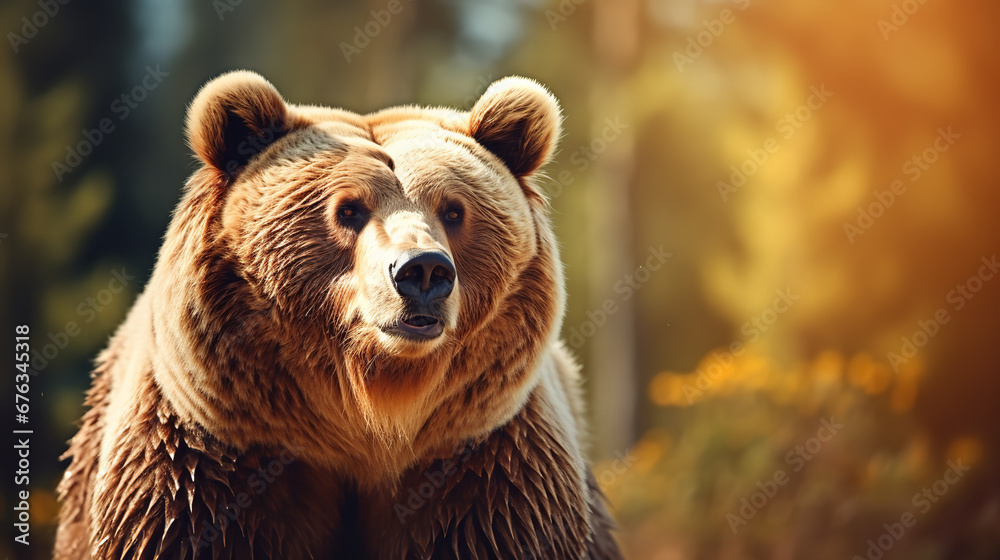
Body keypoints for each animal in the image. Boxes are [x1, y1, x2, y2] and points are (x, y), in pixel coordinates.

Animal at [54, 70, 623, 560]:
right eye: (348, 209)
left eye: (453, 210)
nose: (422, 271)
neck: (368, 416)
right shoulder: (206, 466)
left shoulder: (485, 467)